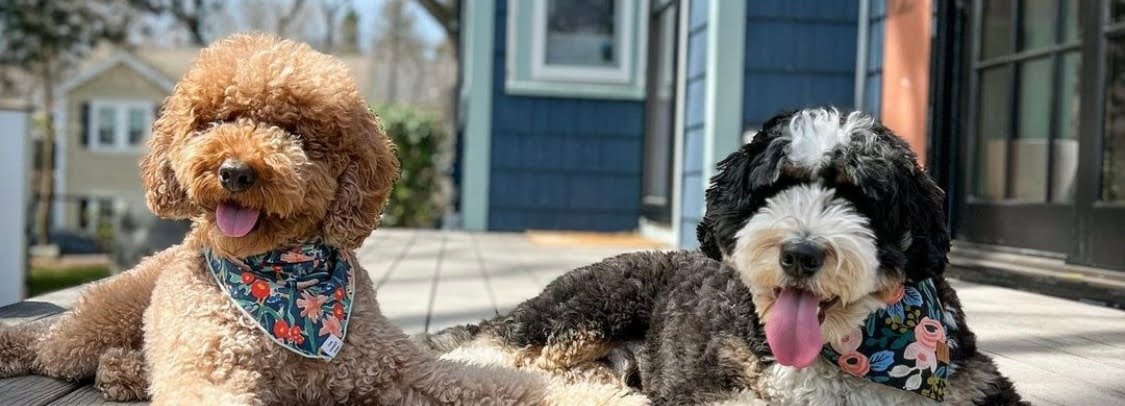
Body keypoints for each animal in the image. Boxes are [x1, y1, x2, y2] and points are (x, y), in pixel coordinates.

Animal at [0, 34, 643, 404]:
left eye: (295, 131)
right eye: (214, 120)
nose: (235, 171)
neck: (285, 282)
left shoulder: (405, 374)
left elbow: (507, 384)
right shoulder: (209, 371)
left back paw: (124, 371)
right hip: (101, 318)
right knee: (49, 343)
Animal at [425, 108, 1026, 404]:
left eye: (857, 197)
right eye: (774, 190)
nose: (801, 254)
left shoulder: (979, 386)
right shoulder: (707, 387)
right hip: (585, 310)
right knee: (489, 350)